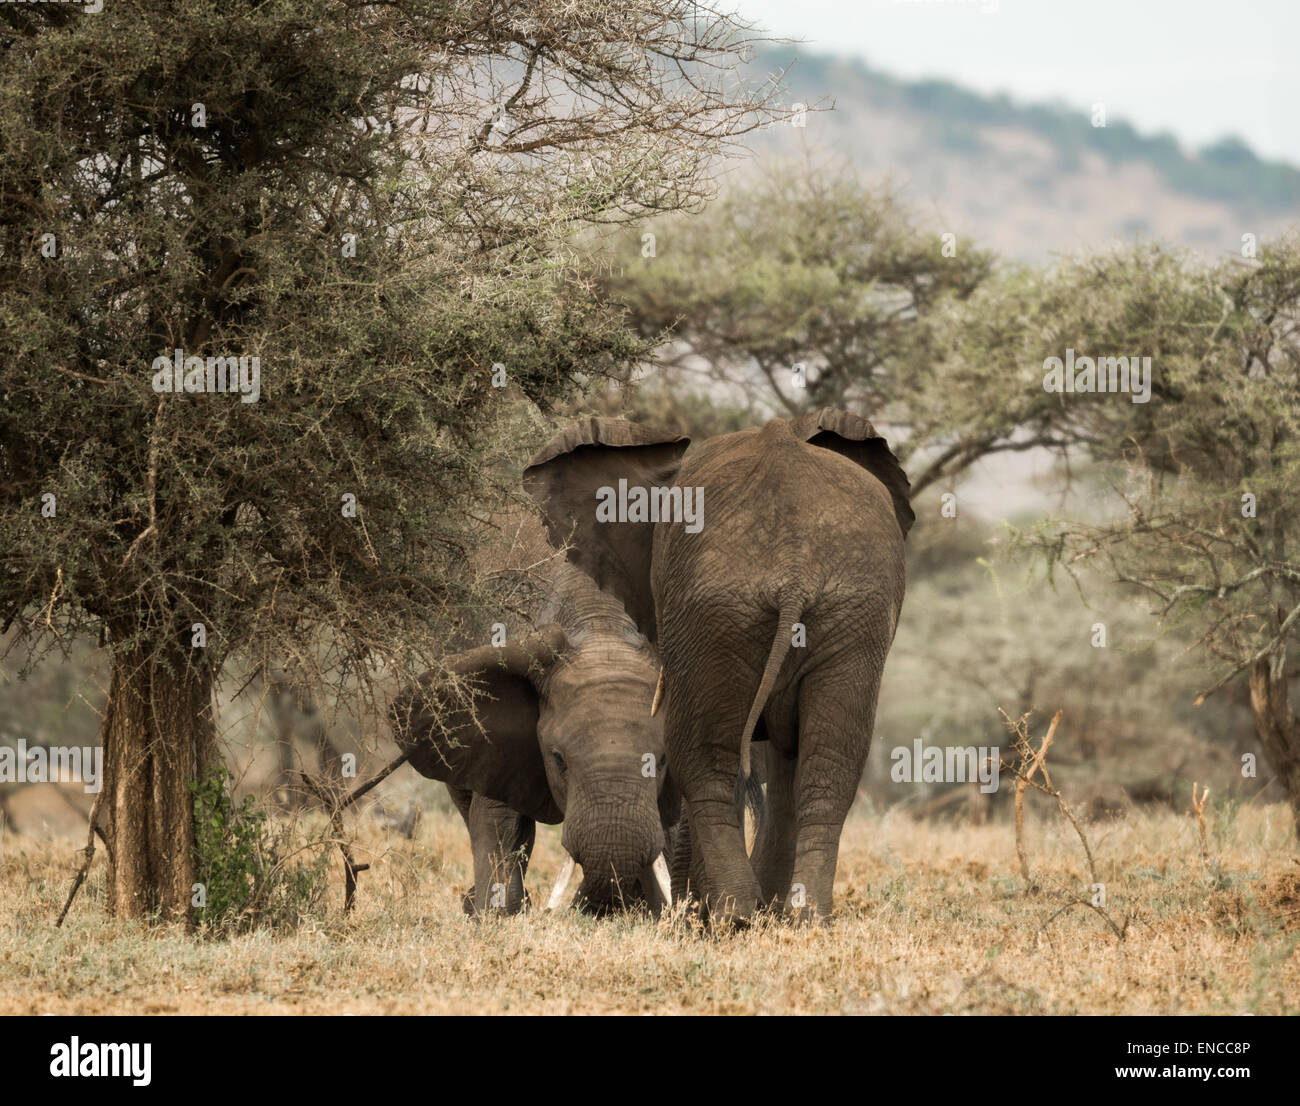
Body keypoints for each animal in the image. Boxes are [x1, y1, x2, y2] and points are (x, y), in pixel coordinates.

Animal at [520, 410, 915, 920]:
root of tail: (794, 568)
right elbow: (785, 758)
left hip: (713, 609)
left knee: (704, 755)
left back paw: (733, 916)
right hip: (851, 607)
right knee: (830, 760)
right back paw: (804, 916)